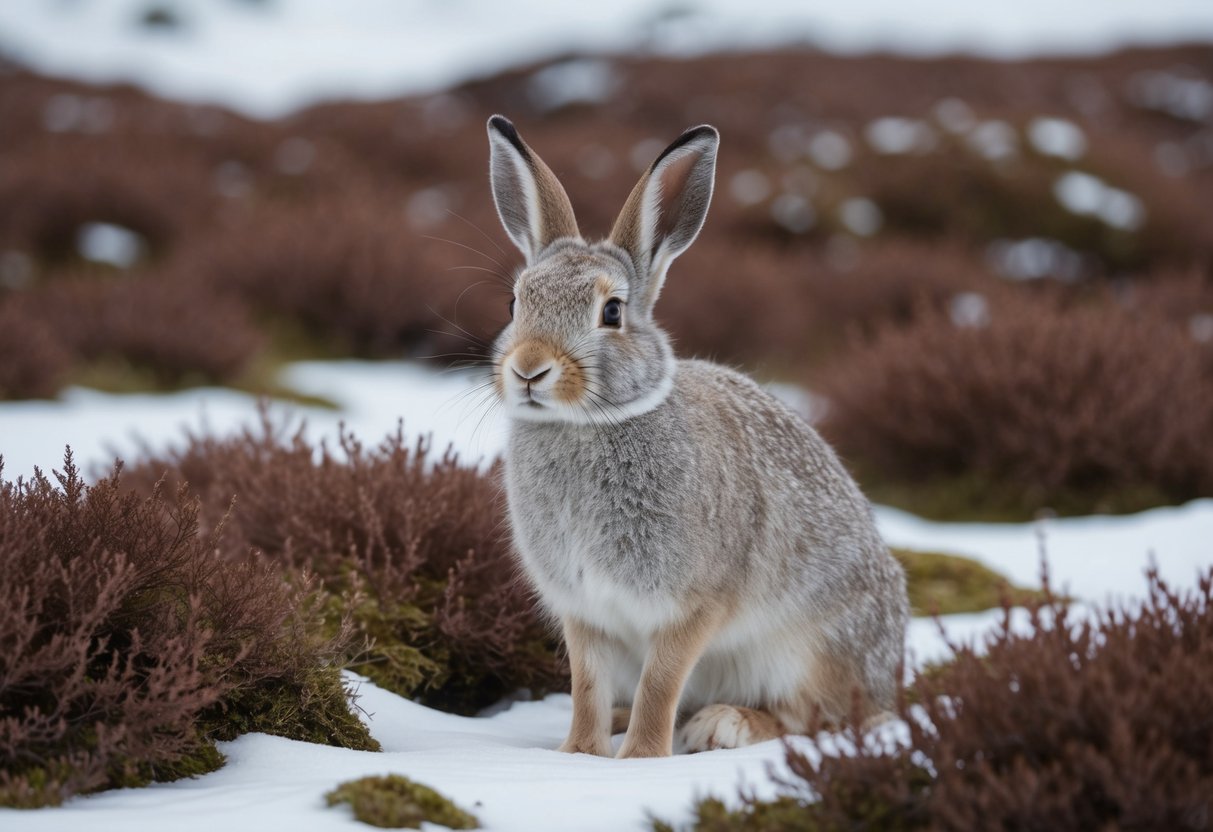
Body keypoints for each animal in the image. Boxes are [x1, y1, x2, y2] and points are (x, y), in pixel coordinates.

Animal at [484, 115, 908, 758]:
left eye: (612, 312)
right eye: (514, 302)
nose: (529, 369)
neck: (587, 425)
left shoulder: (693, 605)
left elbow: (662, 683)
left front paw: (641, 757)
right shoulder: (585, 612)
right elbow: (586, 685)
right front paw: (579, 754)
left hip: (808, 650)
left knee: (815, 717)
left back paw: (724, 725)